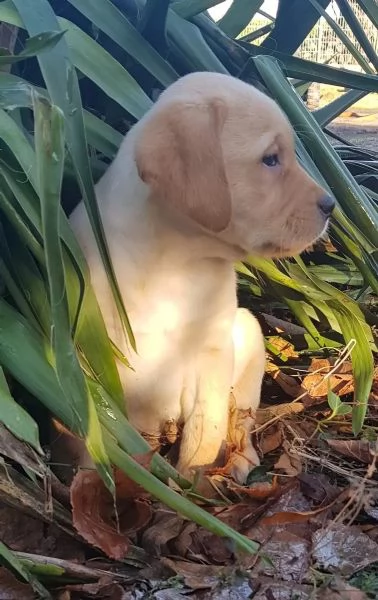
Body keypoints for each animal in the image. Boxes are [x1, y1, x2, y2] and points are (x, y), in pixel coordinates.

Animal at [67, 74, 334, 488]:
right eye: (270, 159)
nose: (331, 205)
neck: (176, 262)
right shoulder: (89, 350)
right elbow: (93, 431)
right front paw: (89, 480)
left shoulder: (211, 353)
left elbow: (206, 431)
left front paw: (196, 484)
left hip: (247, 338)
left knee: (239, 423)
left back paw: (241, 460)